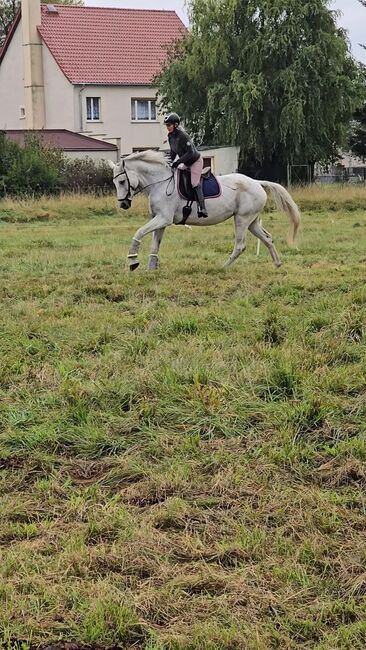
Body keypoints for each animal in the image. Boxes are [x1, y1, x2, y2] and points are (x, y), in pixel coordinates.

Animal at [108, 151, 300, 270]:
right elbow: (155, 244)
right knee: (267, 238)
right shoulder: (160, 220)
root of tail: (257, 182)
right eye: (115, 182)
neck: (159, 183)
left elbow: (139, 232)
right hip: (251, 221)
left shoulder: (163, 219)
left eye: (122, 181)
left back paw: (223, 268)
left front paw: (133, 260)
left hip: (241, 219)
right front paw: (151, 268)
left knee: (240, 245)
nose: (123, 204)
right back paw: (277, 263)